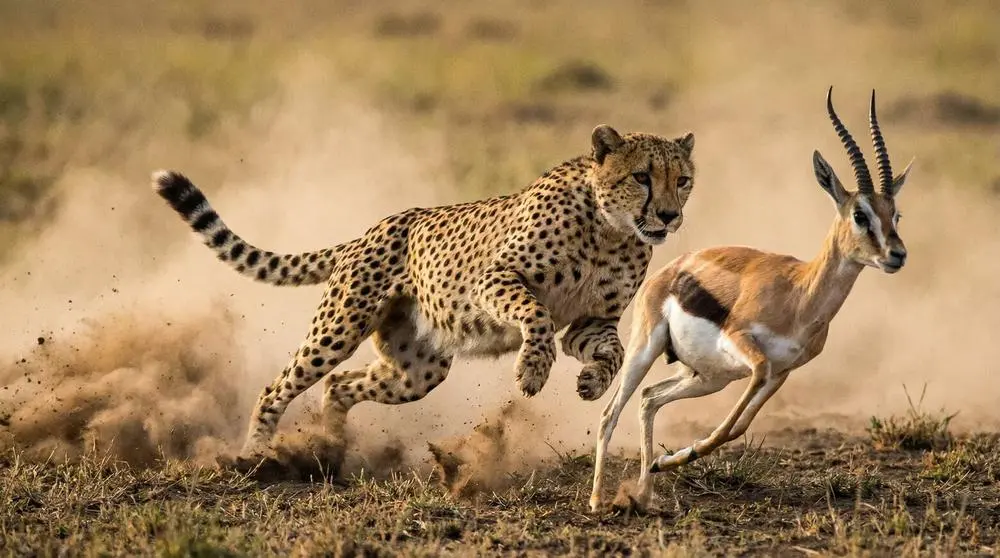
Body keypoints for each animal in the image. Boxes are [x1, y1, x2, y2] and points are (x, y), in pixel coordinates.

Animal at [151, 124, 697, 464]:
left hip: (419, 369)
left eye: (684, 180)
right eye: (642, 177)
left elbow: (613, 350)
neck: (610, 229)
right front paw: (531, 371)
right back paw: (255, 455)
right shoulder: (494, 280)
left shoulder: (592, 321)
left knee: (340, 385)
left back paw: (330, 443)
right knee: (280, 385)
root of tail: (369, 231)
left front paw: (593, 382)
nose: (670, 216)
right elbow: (537, 316)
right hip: (339, 327)